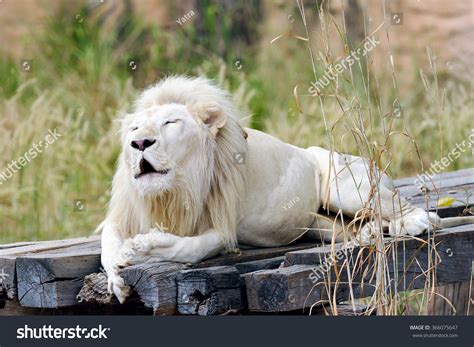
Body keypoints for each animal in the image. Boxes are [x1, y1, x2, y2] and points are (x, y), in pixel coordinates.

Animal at [100, 75, 470, 302]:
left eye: (170, 122)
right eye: (134, 129)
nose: (139, 143)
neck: (174, 189)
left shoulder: (224, 227)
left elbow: (188, 248)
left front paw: (143, 248)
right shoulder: (123, 215)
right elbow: (107, 244)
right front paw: (117, 273)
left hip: (344, 185)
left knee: (418, 212)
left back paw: (411, 223)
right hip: (321, 223)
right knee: (353, 225)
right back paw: (368, 233)